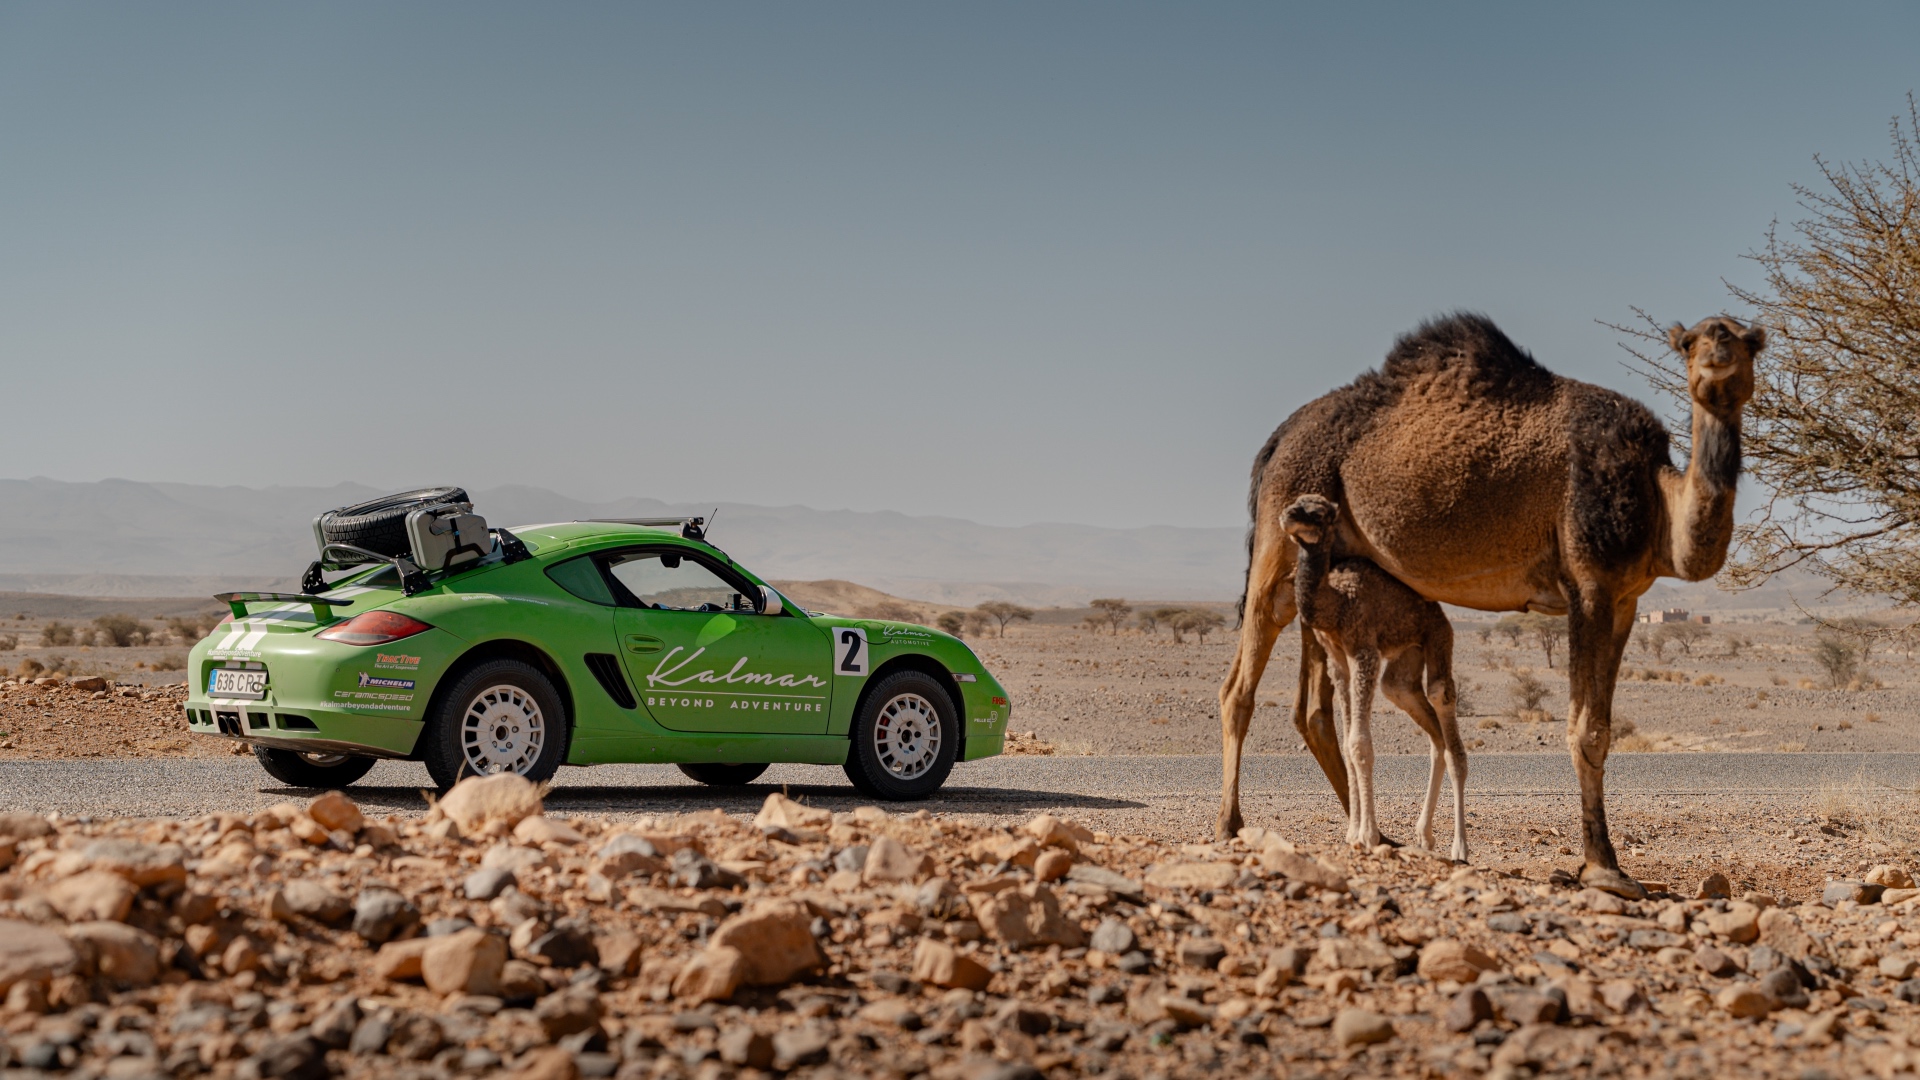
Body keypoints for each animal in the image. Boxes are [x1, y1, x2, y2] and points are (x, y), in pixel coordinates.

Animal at [1283, 494, 1468, 861]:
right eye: (1296, 502)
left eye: (1319, 512)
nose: (1287, 515)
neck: (1336, 603)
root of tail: (1441, 614)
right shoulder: (1338, 661)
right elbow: (1346, 741)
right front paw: (1352, 833)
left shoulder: (1363, 651)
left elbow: (1359, 743)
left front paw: (1367, 835)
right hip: (1405, 662)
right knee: (1424, 722)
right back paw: (1424, 836)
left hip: (1439, 637)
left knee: (1444, 709)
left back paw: (1460, 847)